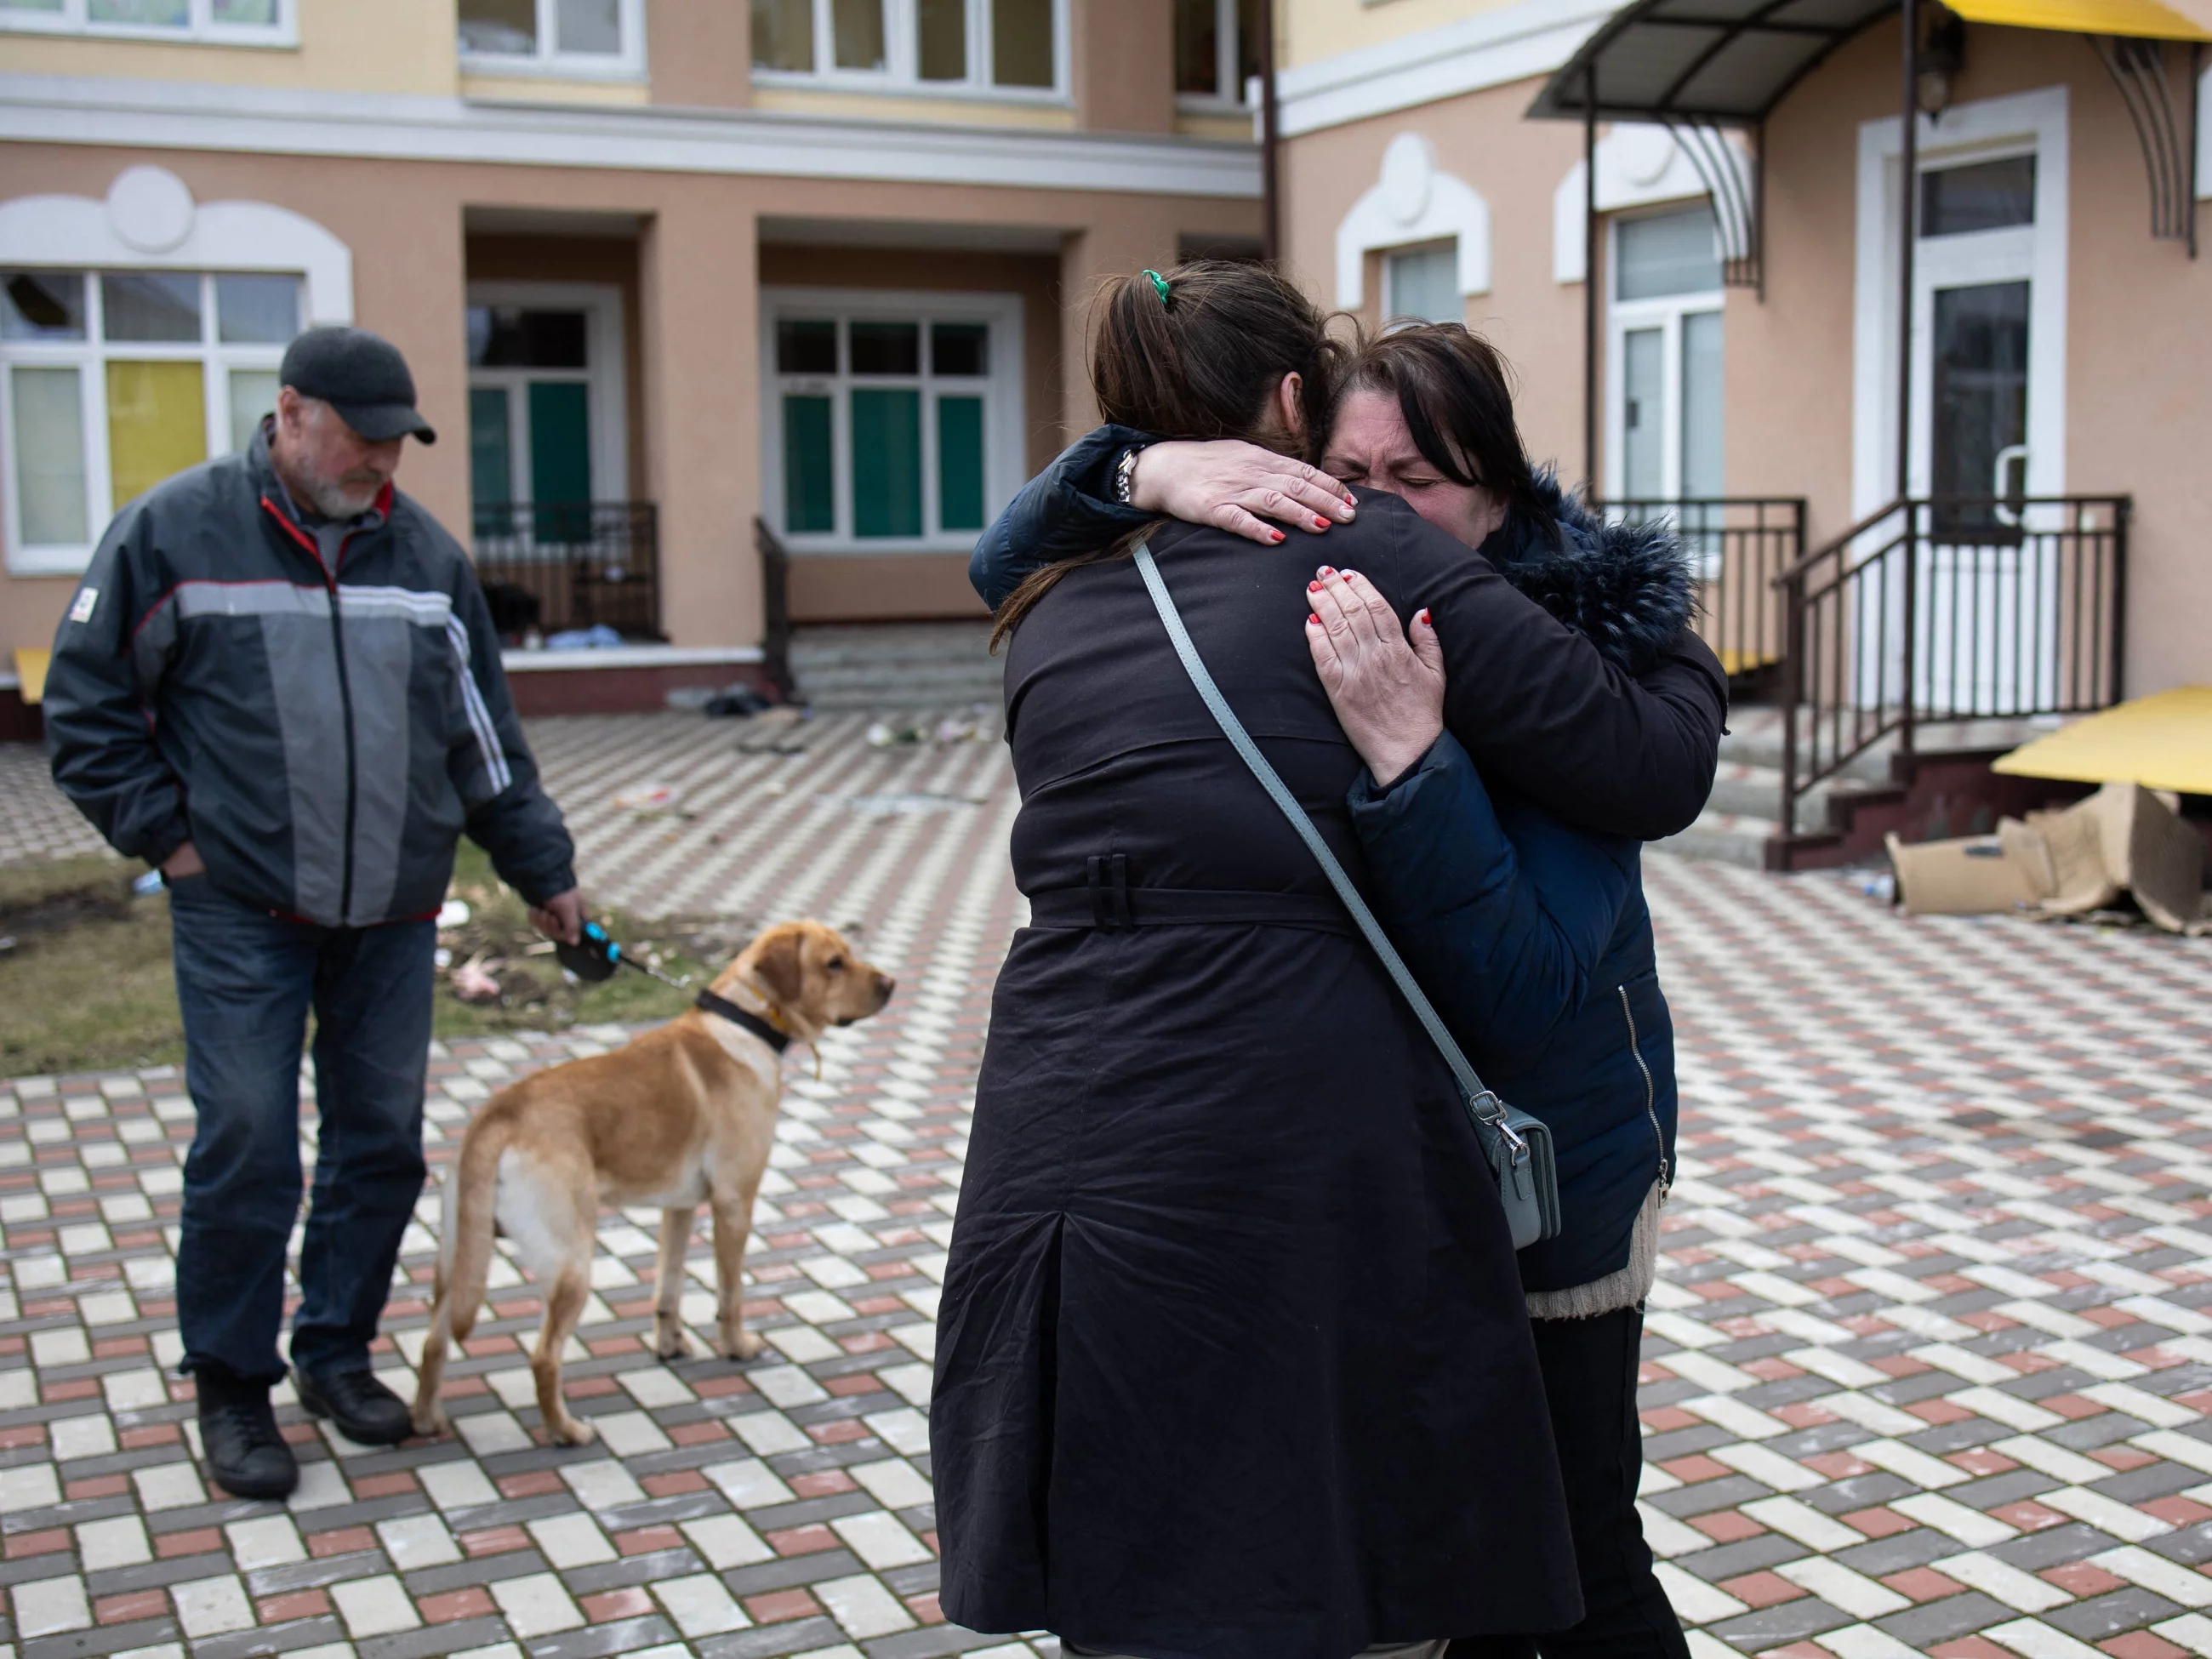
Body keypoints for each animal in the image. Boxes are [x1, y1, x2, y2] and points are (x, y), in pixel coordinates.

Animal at [411, 915, 893, 1451]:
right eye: (834, 963)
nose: (891, 985)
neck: (742, 1019)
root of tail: (499, 1115)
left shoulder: (678, 1207)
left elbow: (668, 1287)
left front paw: (671, 1346)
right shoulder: (734, 1202)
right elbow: (730, 1294)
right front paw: (736, 1346)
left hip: (456, 1258)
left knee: (433, 1343)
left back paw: (427, 1421)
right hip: (570, 1261)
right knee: (543, 1356)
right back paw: (566, 1430)